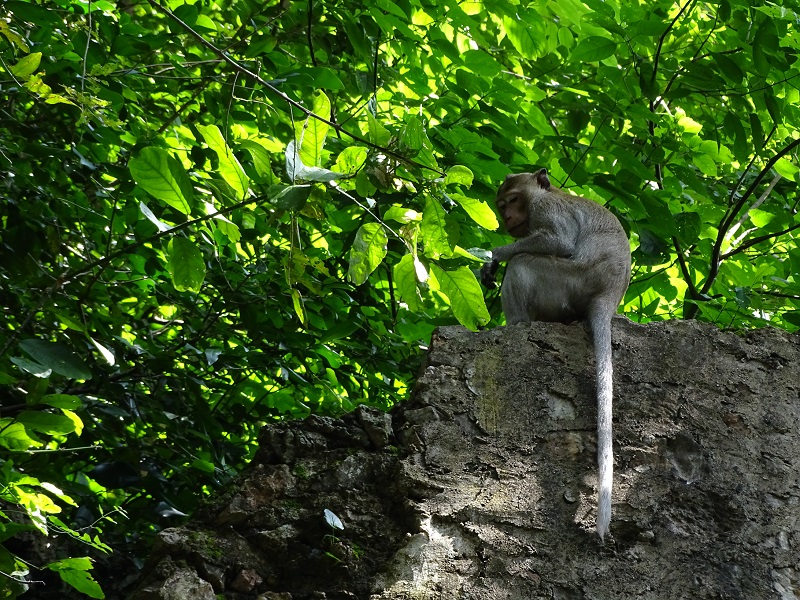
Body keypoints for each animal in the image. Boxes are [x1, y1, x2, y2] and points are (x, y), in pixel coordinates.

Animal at [481, 169, 631, 541]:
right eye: (501, 205)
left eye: (513, 200)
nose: (507, 217)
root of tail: (607, 296)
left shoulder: (546, 209)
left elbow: (559, 241)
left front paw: (496, 254)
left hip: (568, 283)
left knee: (523, 264)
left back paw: (516, 325)